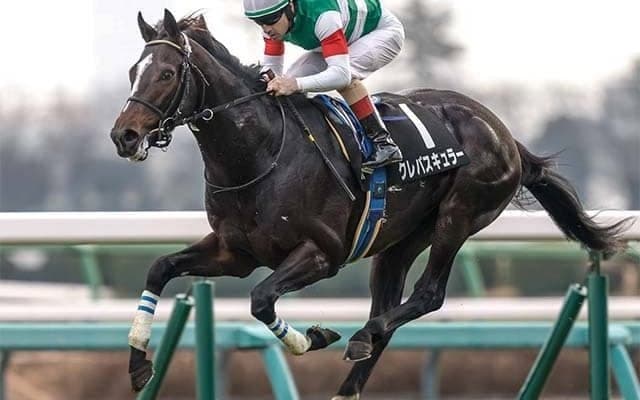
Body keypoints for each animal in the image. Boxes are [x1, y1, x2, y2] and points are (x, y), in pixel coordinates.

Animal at [110, 9, 630, 399]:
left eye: (167, 73)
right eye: (133, 71)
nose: (124, 136)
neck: (260, 153)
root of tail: (504, 134)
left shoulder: (321, 254)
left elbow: (261, 301)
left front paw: (314, 336)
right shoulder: (234, 253)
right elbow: (160, 267)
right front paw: (138, 363)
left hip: (459, 214)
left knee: (427, 295)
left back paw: (360, 336)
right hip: (400, 239)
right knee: (388, 310)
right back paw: (350, 380)